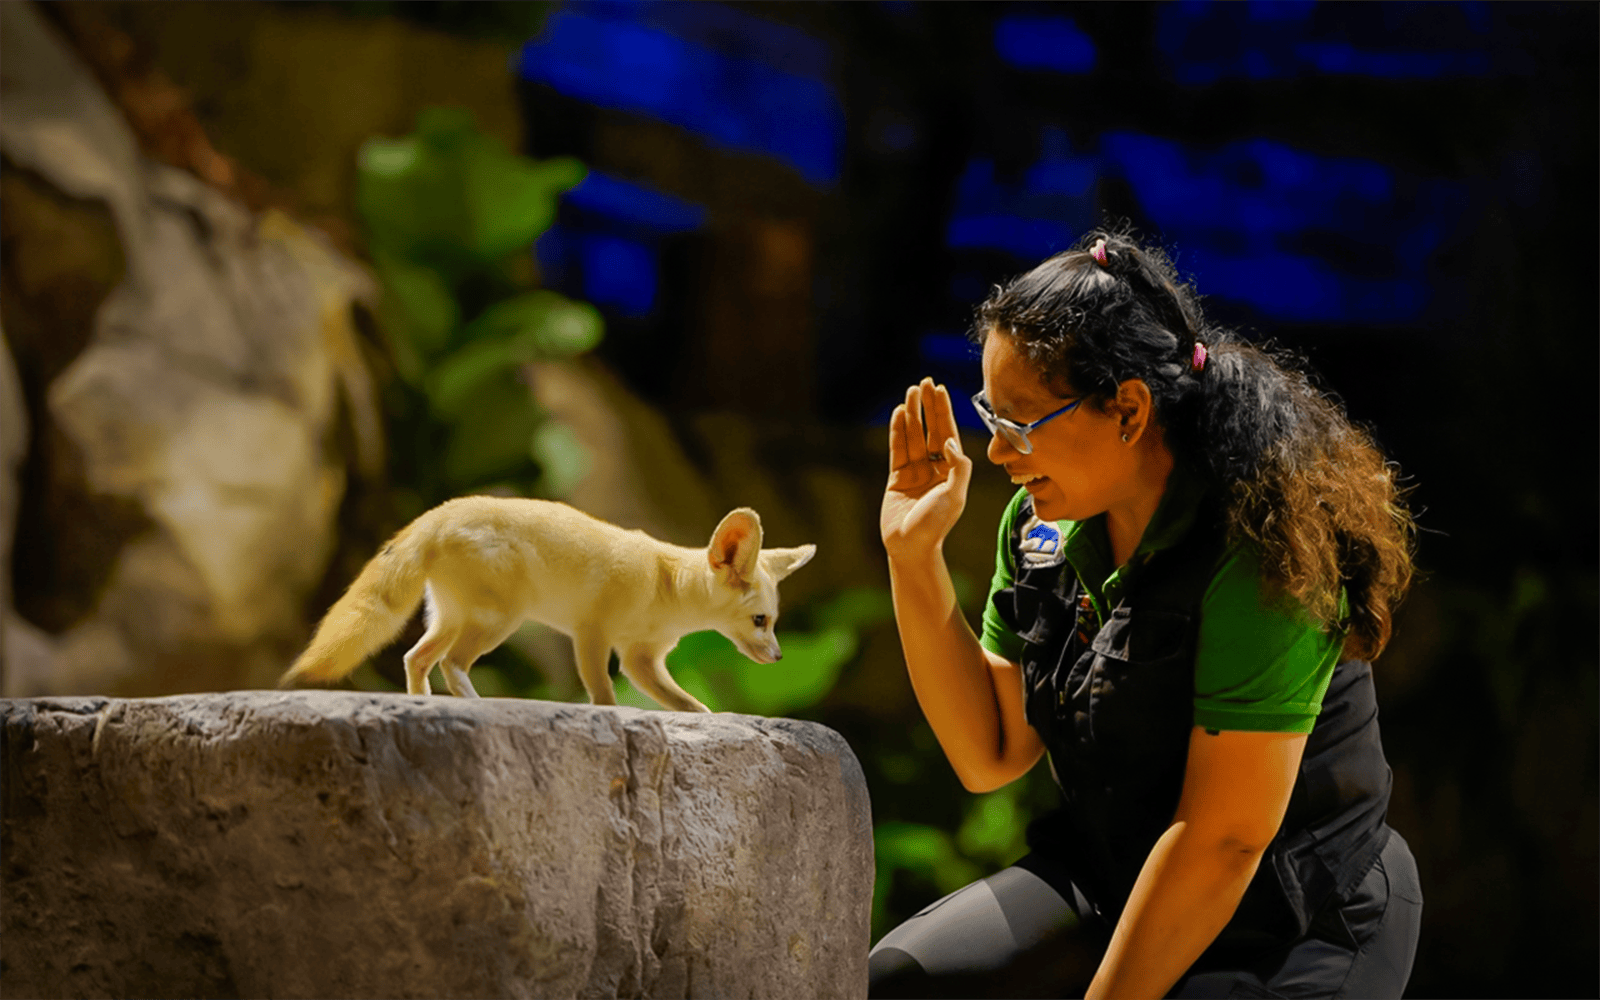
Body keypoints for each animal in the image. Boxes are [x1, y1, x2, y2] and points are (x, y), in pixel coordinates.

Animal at [278, 496, 816, 712]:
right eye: (761, 620)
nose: (779, 657)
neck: (667, 585)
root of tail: (436, 514)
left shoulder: (642, 659)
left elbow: (684, 701)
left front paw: (702, 714)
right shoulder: (593, 635)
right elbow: (603, 694)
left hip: (452, 619)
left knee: (416, 657)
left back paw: (421, 703)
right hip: (498, 622)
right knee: (452, 663)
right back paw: (476, 705)